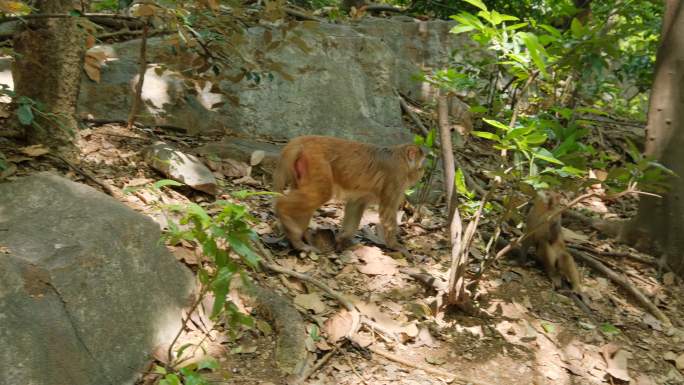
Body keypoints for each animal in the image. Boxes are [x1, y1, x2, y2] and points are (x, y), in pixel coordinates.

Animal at [272, 136, 422, 255]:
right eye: (421, 166)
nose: (422, 174)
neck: (400, 157)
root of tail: (302, 141)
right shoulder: (396, 178)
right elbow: (387, 211)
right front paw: (395, 246)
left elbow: (356, 204)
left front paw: (342, 238)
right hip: (317, 162)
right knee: (321, 193)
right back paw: (286, 218)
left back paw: (297, 239)